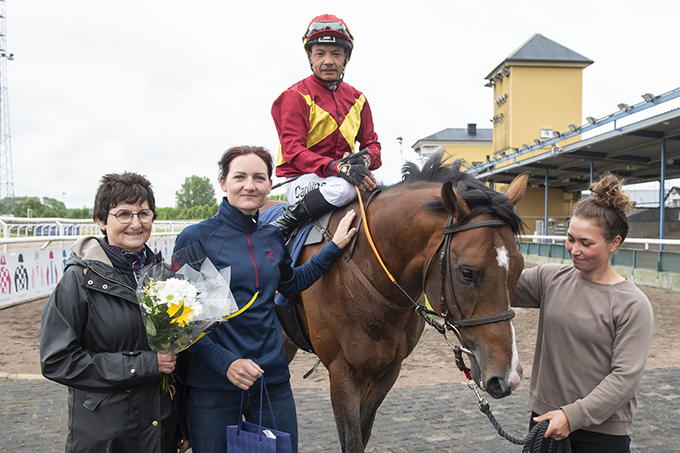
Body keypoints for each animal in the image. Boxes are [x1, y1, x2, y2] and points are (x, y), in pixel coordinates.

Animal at [284, 153, 528, 452]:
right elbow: (352, 440)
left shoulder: (389, 370)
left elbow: (363, 433)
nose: (508, 378)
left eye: (519, 268)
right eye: (467, 272)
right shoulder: (342, 372)